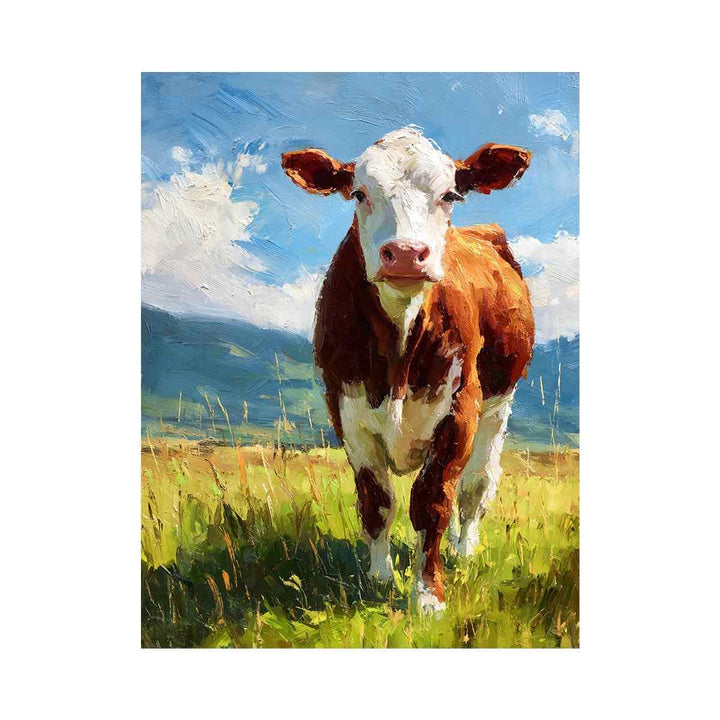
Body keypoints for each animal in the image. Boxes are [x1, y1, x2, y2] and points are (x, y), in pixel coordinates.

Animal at [282, 127, 535, 614]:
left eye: (450, 194)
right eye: (359, 193)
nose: (403, 253)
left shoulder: (460, 411)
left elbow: (432, 503)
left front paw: (428, 596)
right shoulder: (347, 412)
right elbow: (376, 502)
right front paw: (379, 578)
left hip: (498, 407)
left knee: (475, 488)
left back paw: (464, 550)